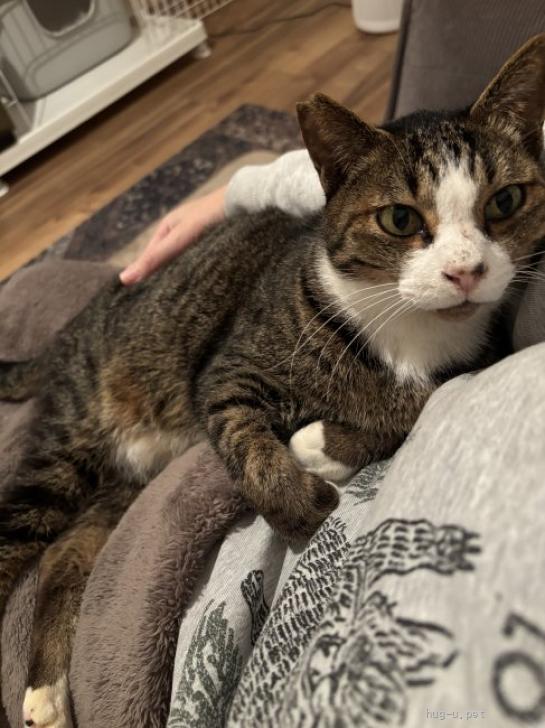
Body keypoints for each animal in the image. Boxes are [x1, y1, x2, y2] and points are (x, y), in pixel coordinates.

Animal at [1, 33, 545, 728]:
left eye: (505, 202)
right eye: (400, 220)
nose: (466, 271)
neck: (407, 333)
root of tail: (67, 334)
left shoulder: (464, 363)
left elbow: (416, 407)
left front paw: (326, 444)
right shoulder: (225, 375)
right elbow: (251, 452)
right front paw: (301, 503)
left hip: (128, 479)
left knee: (66, 554)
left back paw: (45, 691)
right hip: (70, 440)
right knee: (16, 538)